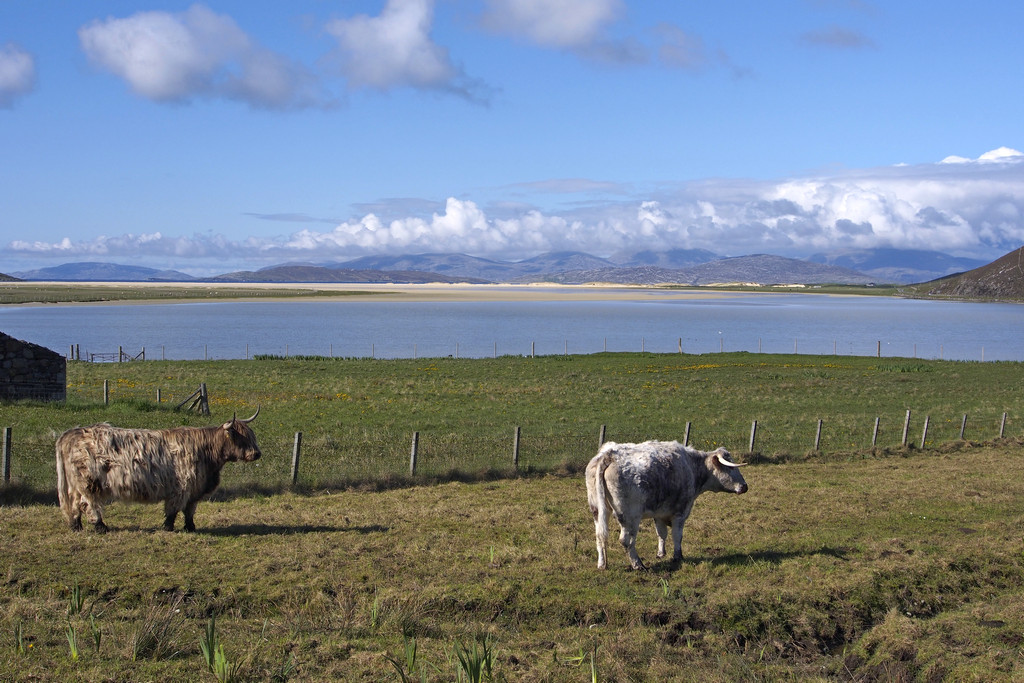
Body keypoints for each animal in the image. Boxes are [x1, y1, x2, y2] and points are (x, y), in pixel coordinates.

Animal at [53, 409, 262, 532]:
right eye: (241, 437)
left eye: (252, 435)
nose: (257, 453)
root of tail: (72, 433)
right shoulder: (181, 487)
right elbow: (173, 510)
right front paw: (168, 527)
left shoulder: (195, 490)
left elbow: (189, 510)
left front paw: (190, 527)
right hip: (89, 484)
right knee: (88, 504)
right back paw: (100, 526)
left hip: (75, 486)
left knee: (74, 505)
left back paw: (76, 526)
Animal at [589, 440, 749, 569]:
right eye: (731, 467)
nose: (744, 486)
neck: (692, 466)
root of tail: (609, 454)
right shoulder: (680, 512)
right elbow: (677, 535)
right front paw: (678, 556)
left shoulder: (659, 513)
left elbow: (661, 533)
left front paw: (661, 553)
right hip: (630, 517)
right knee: (626, 541)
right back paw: (638, 564)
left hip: (598, 511)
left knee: (600, 537)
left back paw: (602, 564)